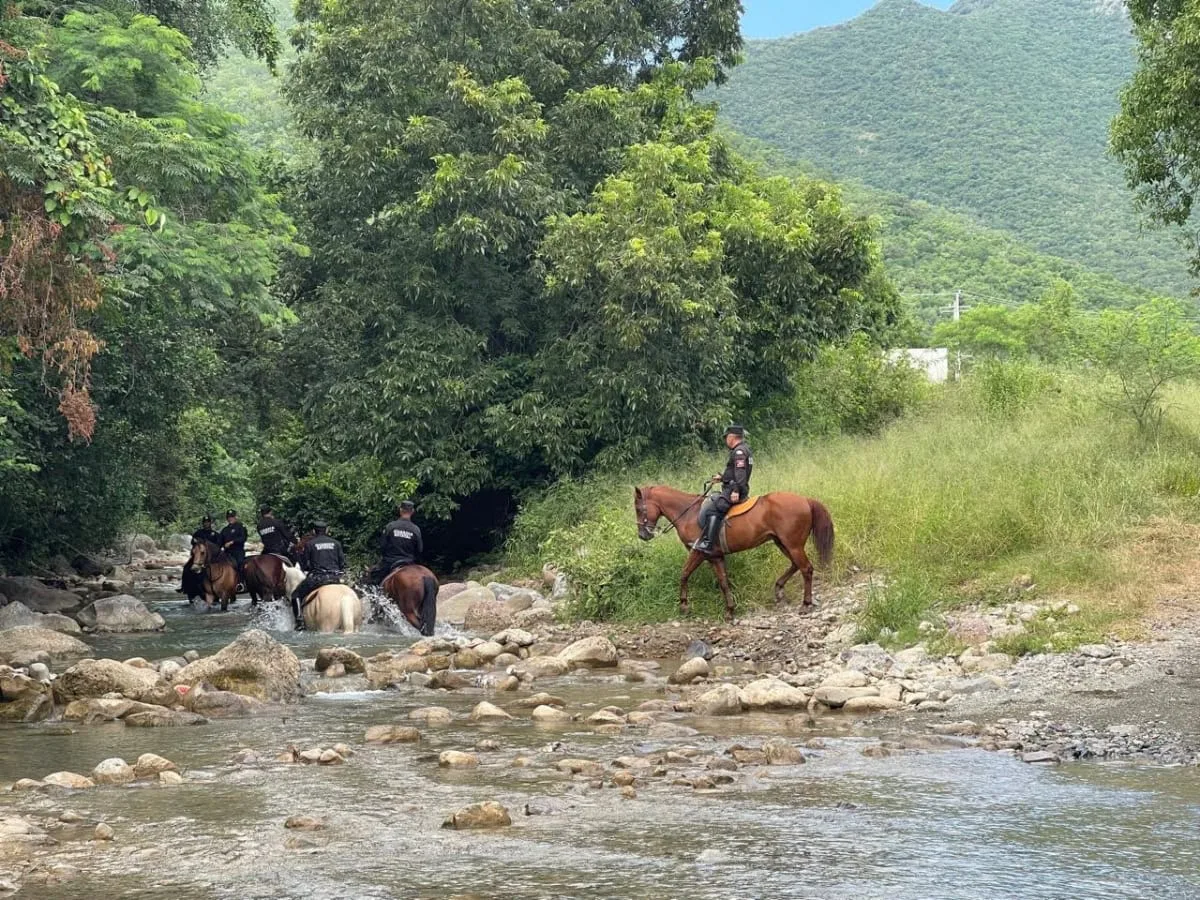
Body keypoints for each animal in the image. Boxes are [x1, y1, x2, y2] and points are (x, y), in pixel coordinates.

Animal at [633, 485, 835, 622]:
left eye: (638, 509)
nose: (643, 535)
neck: (689, 513)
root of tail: (806, 500)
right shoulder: (715, 557)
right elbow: (723, 582)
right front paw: (730, 610)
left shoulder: (698, 551)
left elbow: (684, 574)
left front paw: (683, 605)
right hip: (783, 543)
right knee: (795, 565)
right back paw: (779, 589)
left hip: (792, 545)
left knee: (806, 569)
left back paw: (806, 604)